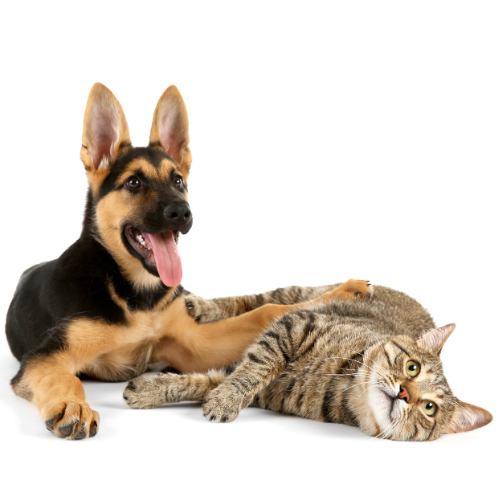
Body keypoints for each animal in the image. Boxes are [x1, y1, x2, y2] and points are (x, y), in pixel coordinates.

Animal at [4, 84, 372, 440]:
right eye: (133, 182)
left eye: (178, 180)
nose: (182, 212)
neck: (134, 295)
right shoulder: (46, 358)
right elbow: (64, 378)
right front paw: (73, 406)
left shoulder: (193, 345)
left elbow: (266, 312)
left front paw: (342, 292)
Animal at [123, 286, 490, 442]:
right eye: (412, 367)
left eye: (429, 408)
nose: (404, 393)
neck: (343, 382)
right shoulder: (297, 324)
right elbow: (256, 367)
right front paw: (227, 399)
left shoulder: (264, 391)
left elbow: (204, 381)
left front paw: (152, 390)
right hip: (296, 297)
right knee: (253, 300)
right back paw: (201, 305)